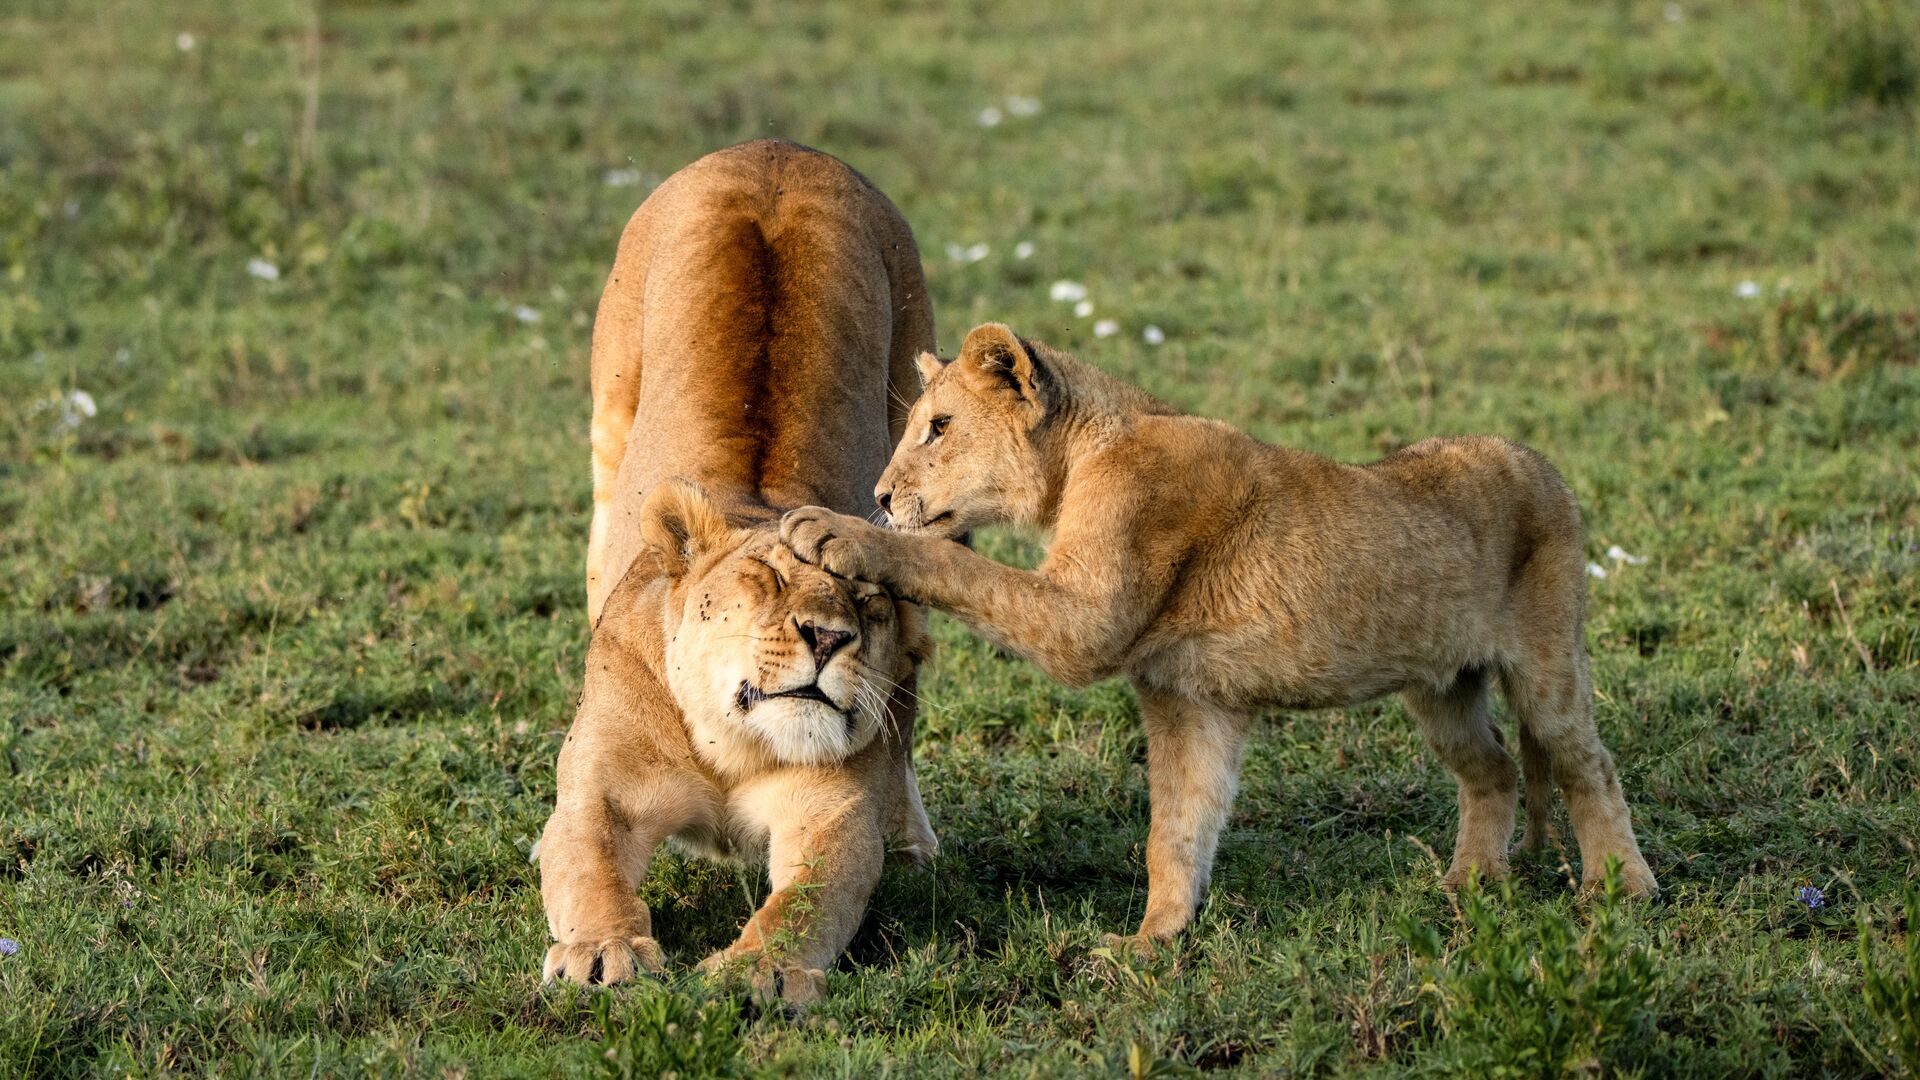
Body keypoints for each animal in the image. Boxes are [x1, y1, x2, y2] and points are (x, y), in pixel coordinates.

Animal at [536, 140, 936, 1006]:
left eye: (865, 601)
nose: (829, 638)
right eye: (769, 583)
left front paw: (759, 971)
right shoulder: (600, 793)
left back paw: (913, 839)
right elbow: (588, 868)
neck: (736, 747)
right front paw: (604, 951)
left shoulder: (831, 816)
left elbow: (807, 901)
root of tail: (775, 149)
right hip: (608, 432)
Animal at [780, 322, 1657, 952]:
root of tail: (1539, 460)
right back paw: (1469, 884)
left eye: (938, 427)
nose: (880, 494)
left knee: (1588, 765)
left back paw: (1621, 888)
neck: (1085, 453)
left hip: (1548, 662)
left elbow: (951, 563)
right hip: (1441, 689)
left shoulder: (1086, 622)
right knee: (1497, 767)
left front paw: (834, 532)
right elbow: (1177, 828)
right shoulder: (1187, 697)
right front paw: (1150, 943)